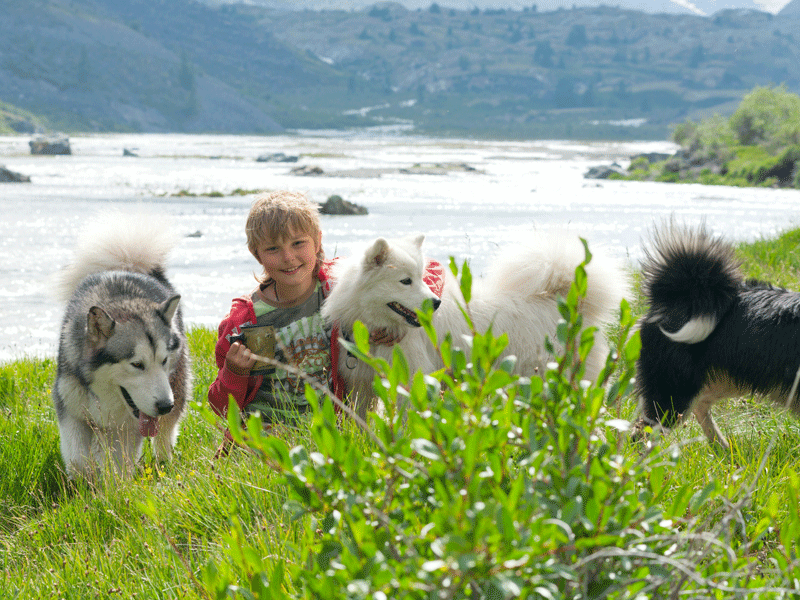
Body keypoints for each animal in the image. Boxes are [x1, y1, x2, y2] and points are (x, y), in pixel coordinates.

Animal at [320, 231, 632, 418]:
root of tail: (564, 301)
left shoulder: (412, 379)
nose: (436, 303)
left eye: (421, 277)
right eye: (405, 281)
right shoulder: (362, 386)